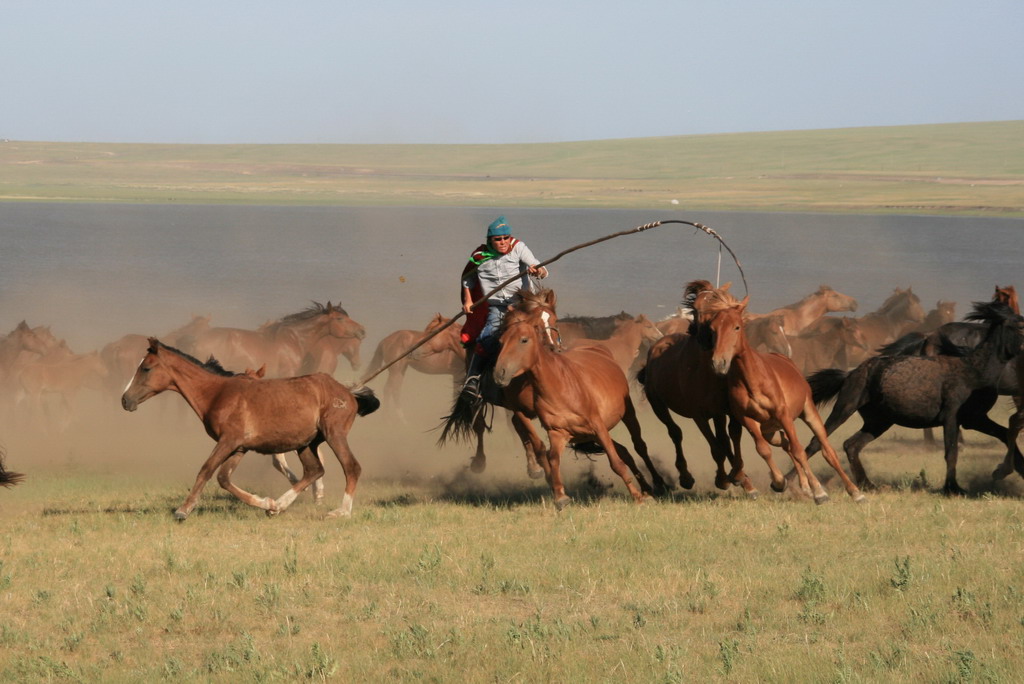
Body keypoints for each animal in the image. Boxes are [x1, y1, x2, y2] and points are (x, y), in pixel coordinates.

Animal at [122, 339, 380, 520]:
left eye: (146, 368)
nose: (125, 400)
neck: (217, 394)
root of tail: (348, 391)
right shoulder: (239, 446)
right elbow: (224, 478)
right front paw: (266, 503)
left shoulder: (228, 440)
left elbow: (206, 470)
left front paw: (183, 510)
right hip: (307, 443)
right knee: (314, 470)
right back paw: (278, 506)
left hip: (333, 434)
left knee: (351, 467)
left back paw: (341, 512)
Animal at [696, 286, 864, 505]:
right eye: (713, 329)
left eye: (737, 327)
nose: (719, 362)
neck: (753, 381)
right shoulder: (748, 420)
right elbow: (764, 450)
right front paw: (779, 482)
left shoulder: (784, 415)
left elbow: (800, 451)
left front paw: (819, 492)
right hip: (770, 431)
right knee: (785, 443)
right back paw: (802, 486)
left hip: (808, 413)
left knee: (826, 451)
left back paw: (855, 492)